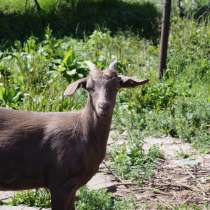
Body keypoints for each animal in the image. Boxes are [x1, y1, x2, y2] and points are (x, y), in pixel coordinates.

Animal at [0, 60, 148, 208]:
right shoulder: (59, 182)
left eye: (117, 86)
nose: (103, 106)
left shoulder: (71, 186)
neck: (83, 132)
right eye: (89, 87)